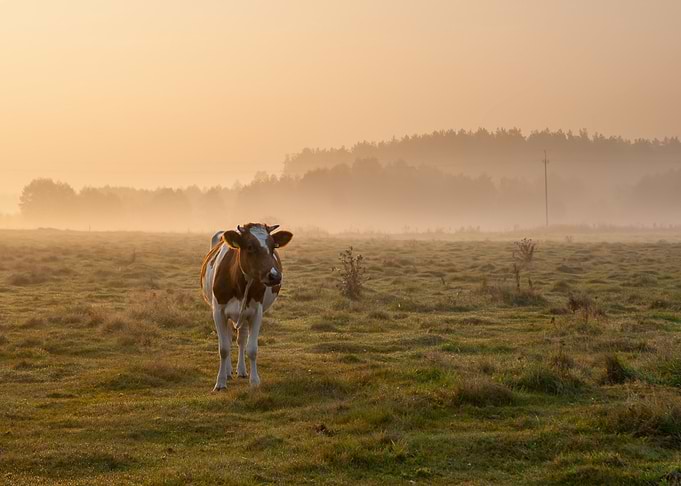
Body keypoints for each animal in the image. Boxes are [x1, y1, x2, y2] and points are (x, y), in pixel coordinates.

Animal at [200, 223, 293, 390]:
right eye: (250, 247)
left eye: (273, 246)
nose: (275, 276)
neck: (240, 282)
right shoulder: (218, 312)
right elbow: (223, 348)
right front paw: (220, 382)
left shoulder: (256, 312)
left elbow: (252, 349)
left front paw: (254, 381)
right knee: (229, 338)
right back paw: (228, 372)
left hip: (243, 315)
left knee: (241, 340)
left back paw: (241, 370)